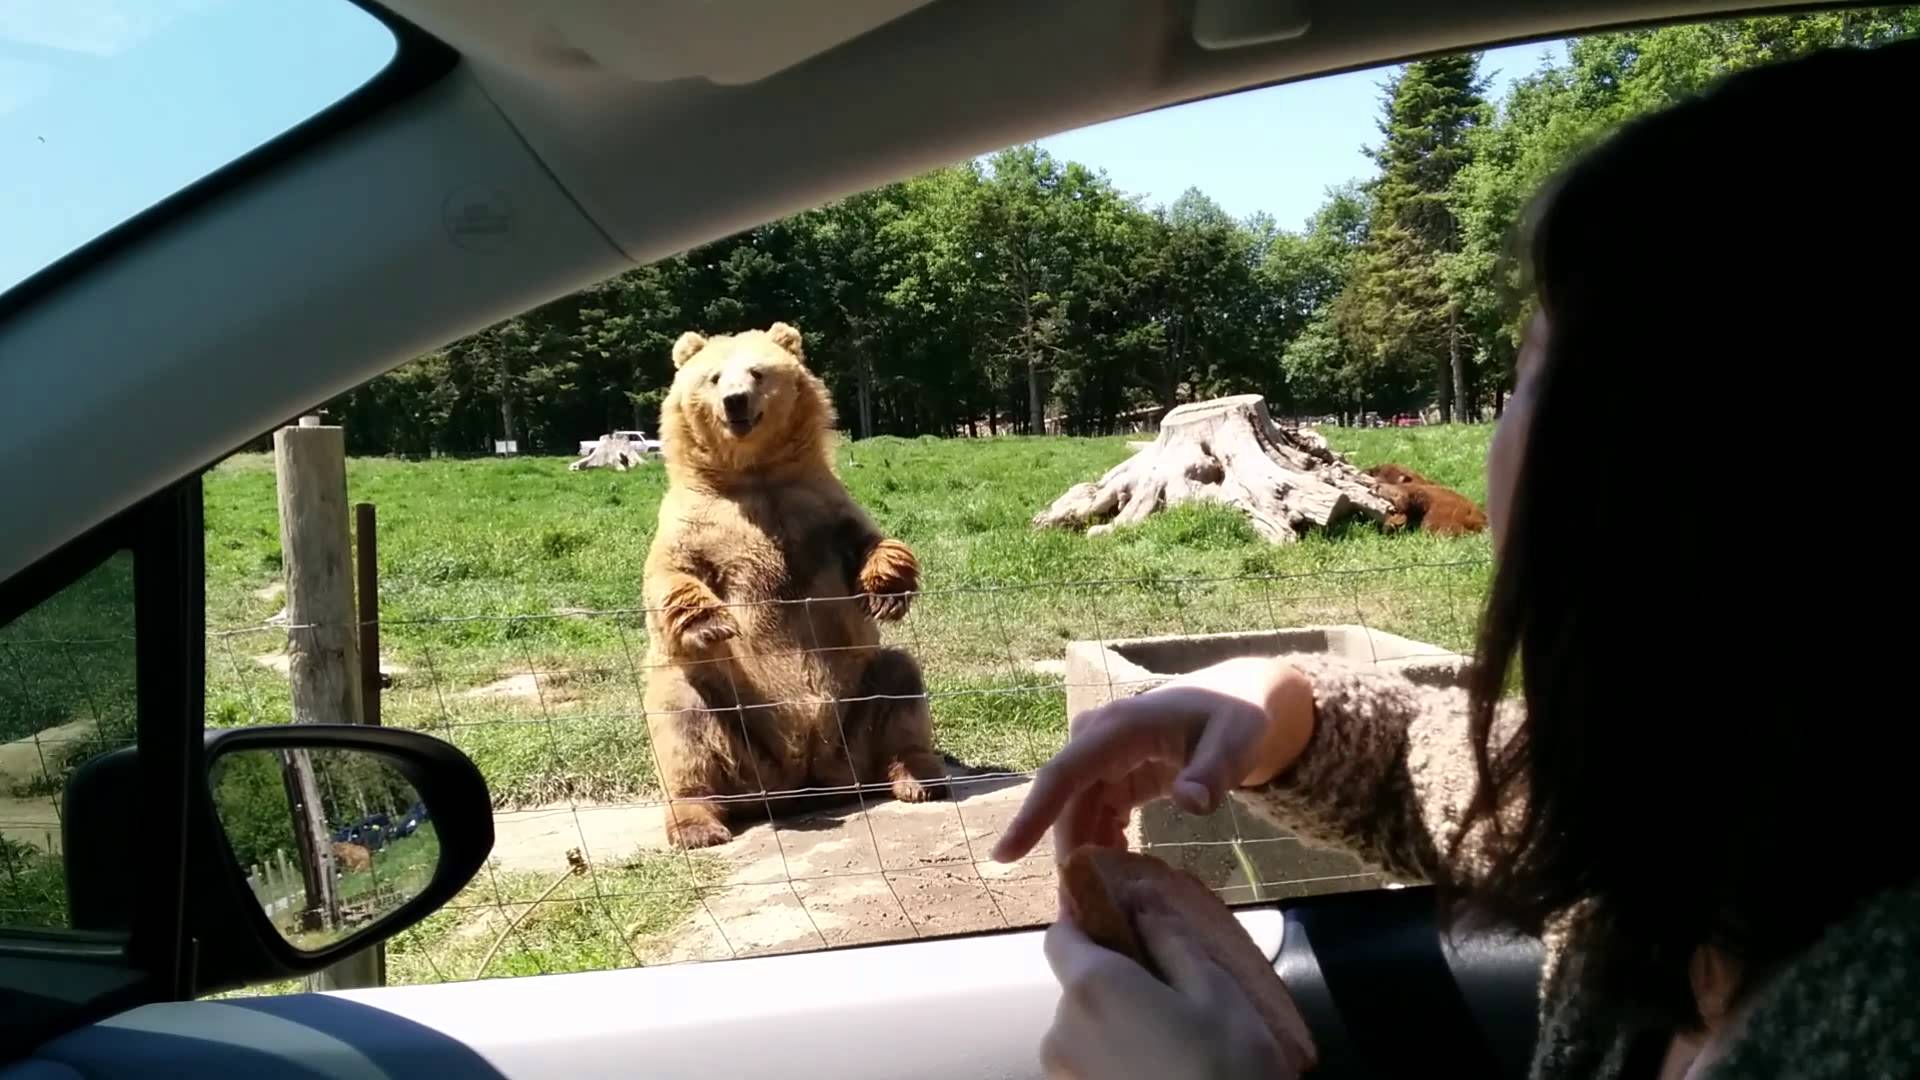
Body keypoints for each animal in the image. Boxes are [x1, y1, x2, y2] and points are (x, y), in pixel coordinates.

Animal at [641, 322, 948, 845]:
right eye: (714, 377)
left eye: (758, 372)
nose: (736, 402)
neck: (754, 474)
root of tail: (802, 781)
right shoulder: (696, 525)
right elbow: (669, 579)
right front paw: (710, 624)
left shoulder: (821, 510)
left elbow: (870, 543)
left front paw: (887, 590)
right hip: (738, 730)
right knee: (682, 720)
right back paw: (697, 824)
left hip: (855, 713)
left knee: (900, 682)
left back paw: (918, 776)